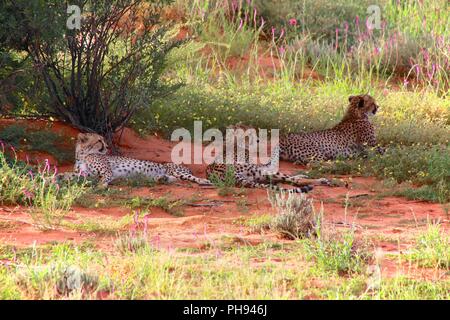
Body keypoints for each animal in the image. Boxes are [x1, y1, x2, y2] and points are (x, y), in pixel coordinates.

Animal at [59, 132, 212, 188]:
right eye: (99, 141)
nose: (107, 146)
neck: (83, 155)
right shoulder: (85, 174)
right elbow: (69, 175)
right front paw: (58, 176)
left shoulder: (107, 172)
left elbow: (103, 180)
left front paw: (100, 187)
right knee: (173, 179)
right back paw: (162, 179)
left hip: (179, 171)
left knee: (192, 178)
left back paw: (205, 181)